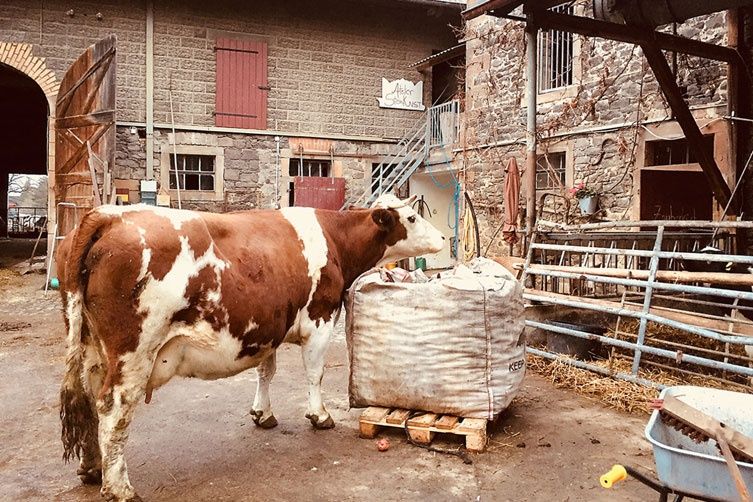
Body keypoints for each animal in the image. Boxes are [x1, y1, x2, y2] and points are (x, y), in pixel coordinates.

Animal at [60, 194, 446, 500]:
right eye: (412, 218)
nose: (443, 237)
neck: (335, 240)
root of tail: (107, 215)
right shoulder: (320, 317)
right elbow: (315, 372)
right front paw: (319, 416)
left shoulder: (267, 325)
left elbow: (266, 370)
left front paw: (263, 413)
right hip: (133, 352)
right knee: (112, 408)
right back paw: (120, 488)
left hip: (90, 347)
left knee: (89, 401)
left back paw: (92, 468)